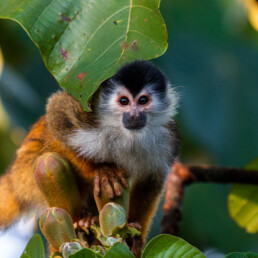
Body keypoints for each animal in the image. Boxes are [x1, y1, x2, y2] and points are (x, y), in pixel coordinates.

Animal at [0, 61, 179, 256]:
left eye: (143, 101)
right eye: (124, 101)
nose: (134, 115)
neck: (126, 134)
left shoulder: (167, 137)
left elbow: (153, 178)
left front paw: (136, 238)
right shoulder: (89, 114)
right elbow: (57, 114)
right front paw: (101, 170)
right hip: (26, 174)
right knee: (49, 155)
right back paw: (79, 219)